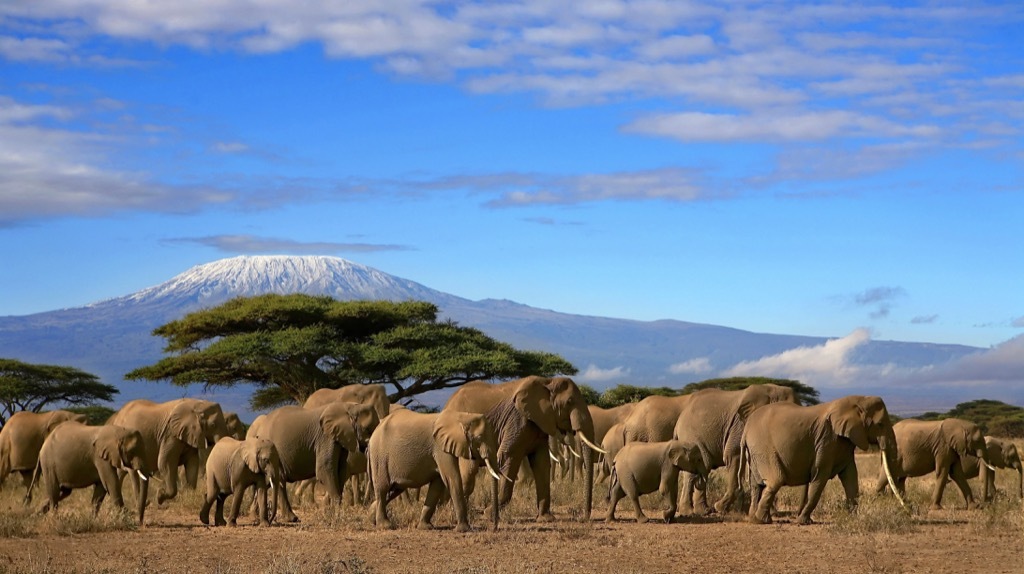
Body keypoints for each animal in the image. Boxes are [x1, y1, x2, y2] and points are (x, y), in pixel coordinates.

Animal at [246, 401, 379, 523]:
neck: (350, 406)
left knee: (275, 481)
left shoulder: (340, 439)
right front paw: (337, 518)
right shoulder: (325, 437)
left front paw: (331, 514)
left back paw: (283, 518)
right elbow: (324, 470)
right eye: (368, 429)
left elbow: (341, 471)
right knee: (276, 481)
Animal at [368, 408, 506, 532]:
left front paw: (426, 527)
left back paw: (371, 519)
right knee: (382, 488)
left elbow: (437, 484)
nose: (494, 528)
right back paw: (385, 526)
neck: (461, 416)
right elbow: (452, 478)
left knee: (394, 490)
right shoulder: (440, 448)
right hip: (379, 456)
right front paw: (464, 529)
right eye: (479, 438)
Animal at [444, 376, 604, 521]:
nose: (583, 517)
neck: (547, 381)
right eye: (569, 402)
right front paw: (489, 514)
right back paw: (455, 515)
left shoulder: (539, 423)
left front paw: (545, 518)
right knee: (468, 472)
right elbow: (509, 457)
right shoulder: (518, 420)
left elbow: (541, 463)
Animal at [672, 384, 797, 514]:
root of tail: (679, 420)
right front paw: (720, 508)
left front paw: (771, 512)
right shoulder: (741, 425)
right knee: (694, 470)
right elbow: (733, 456)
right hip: (690, 436)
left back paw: (703, 511)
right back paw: (689, 511)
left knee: (704, 467)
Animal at [743, 395, 901, 525]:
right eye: (880, 424)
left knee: (756, 484)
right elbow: (820, 476)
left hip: (755, 452)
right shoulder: (827, 439)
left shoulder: (844, 441)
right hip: (763, 447)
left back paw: (755, 519)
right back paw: (760, 520)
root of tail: (746, 428)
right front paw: (803, 522)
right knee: (776, 480)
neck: (858, 400)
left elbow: (850, 476)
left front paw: (853, 519)